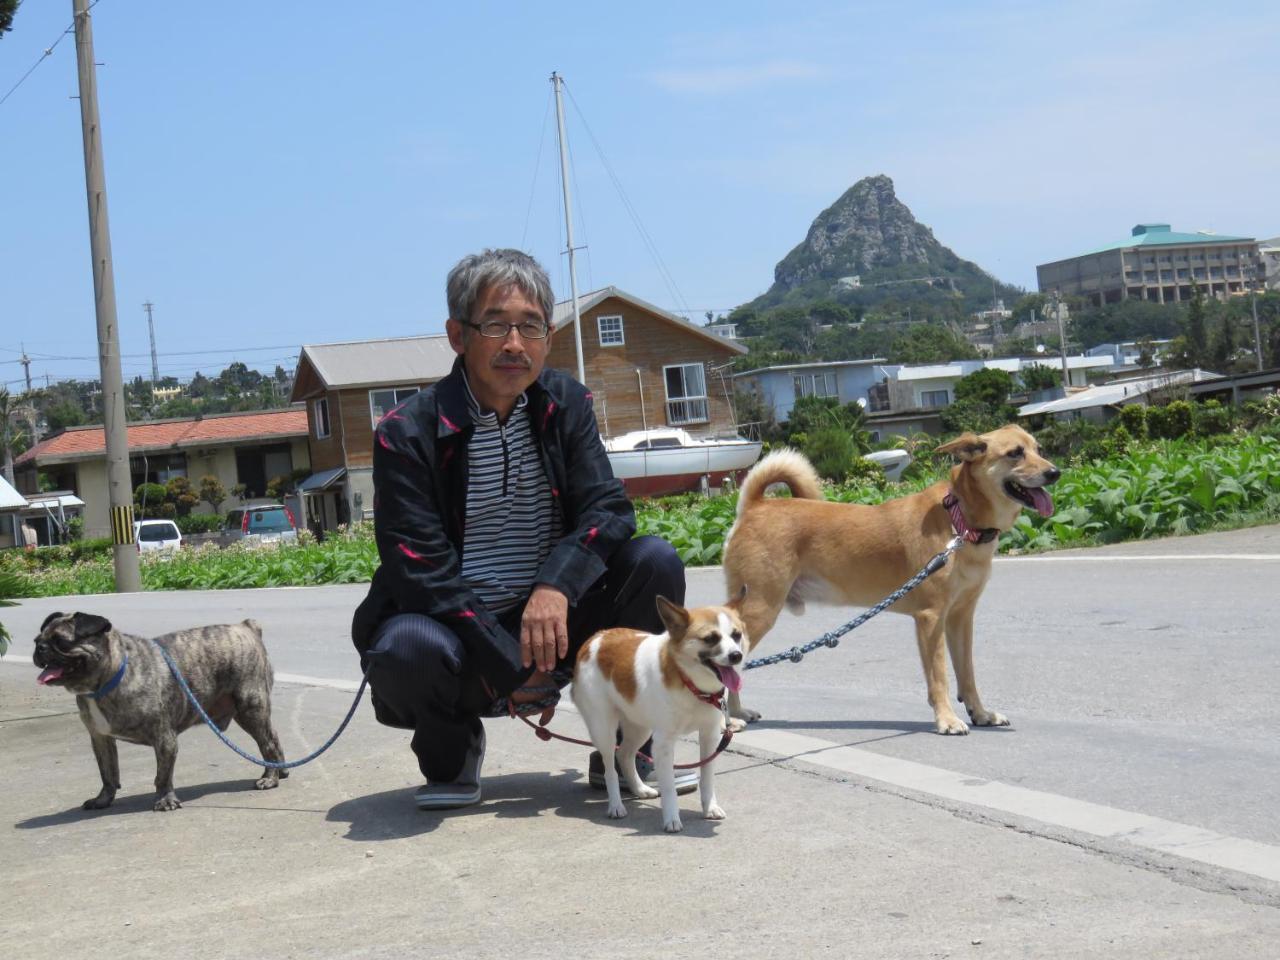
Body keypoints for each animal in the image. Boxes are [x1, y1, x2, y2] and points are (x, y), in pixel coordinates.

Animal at [31, 616, 288, 814]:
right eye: (36, 640)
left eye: (61, 641)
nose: (40, 648)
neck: (107, 679)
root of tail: (246, 627)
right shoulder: (101, 739)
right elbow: (108, 773)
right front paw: (103, 799)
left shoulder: (164, 739)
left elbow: (162, 775)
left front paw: (165, 800)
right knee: (274, 738)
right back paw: (281, 771)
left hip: (250, 708)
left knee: (267, 743)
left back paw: (270, 776)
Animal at [573, 593, 747, 834]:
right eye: (711, 638)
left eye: (736, 635)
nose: (736, 655)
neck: (690, 683)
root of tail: (596, 638)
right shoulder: (663, 744)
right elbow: (669, 787)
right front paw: (671, 818)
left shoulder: (710, 736)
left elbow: (707, 777)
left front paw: (709, 807)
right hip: (604, 730)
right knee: (610, 767)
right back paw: (616, 805)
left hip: (640, 727)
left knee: (624, 754)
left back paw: (639, 788)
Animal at [721, 427, 1059, 737]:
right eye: (1015, 453)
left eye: (1038, 449)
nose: (1055, 473)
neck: (960, 519)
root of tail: (755, 505)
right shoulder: (931, 619)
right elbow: (940, 677)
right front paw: (947, 719)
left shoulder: (961, 618)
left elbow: (967, 674)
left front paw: (981, 713)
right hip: (759, 611)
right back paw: (729, 719)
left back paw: (736, 713)